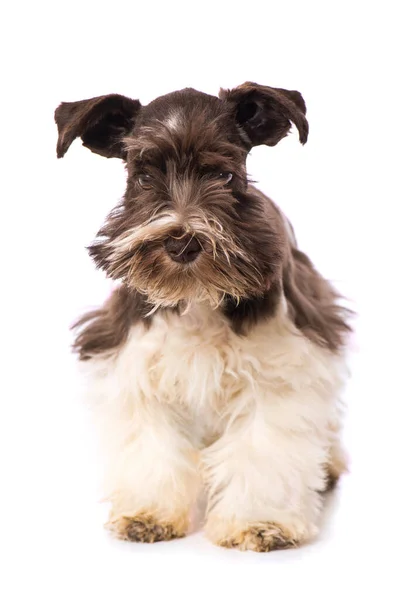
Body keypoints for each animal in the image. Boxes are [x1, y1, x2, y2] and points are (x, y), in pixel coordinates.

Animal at [55, 82, 350, 552]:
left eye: (225, 175)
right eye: (142, 177)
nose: (182, 242)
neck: (196, 298)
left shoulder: (280, 370)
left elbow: (264, 447)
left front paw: (259, 521)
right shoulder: (134, 366)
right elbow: (152, 445)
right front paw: (149, 513)